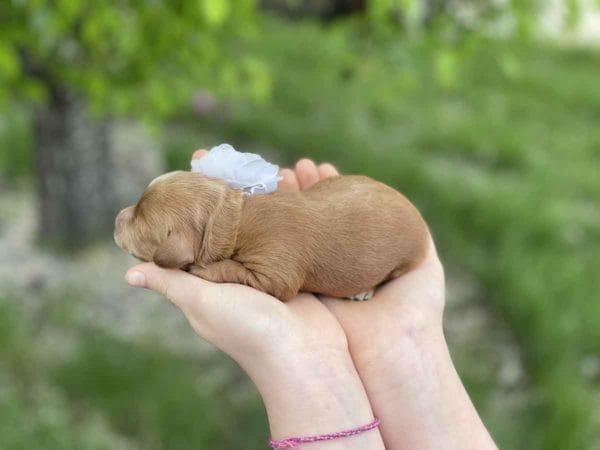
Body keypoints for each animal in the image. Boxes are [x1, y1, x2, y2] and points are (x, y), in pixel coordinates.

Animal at [113, 172, 432, 302]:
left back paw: (362, 291)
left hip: (404, 260)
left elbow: (235, 270)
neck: (234, 219)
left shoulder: (274, 273)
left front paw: (203, 269)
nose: (116, 218)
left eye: (139, 221)